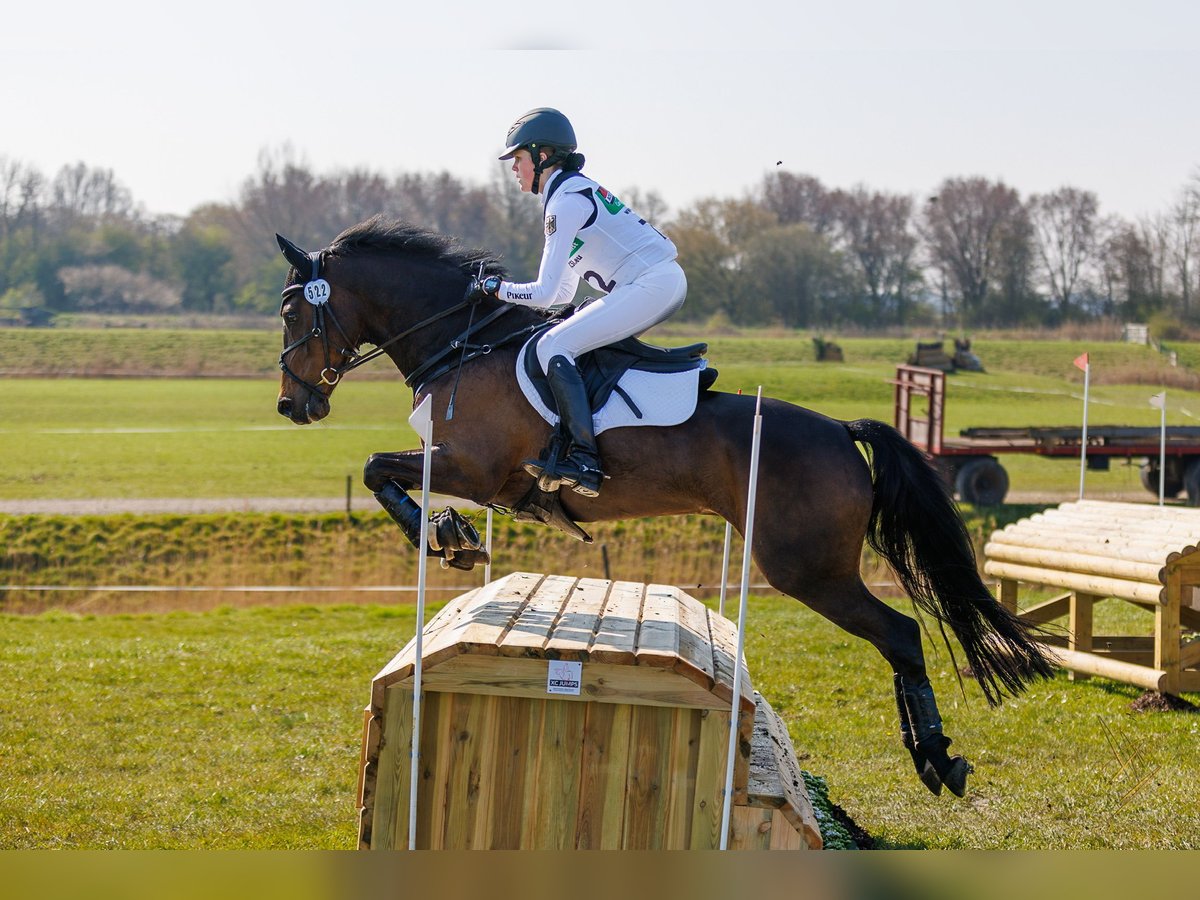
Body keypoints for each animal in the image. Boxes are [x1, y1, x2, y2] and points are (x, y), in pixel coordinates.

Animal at [272, 214, 1051, 801]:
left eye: (289, 311)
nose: (292, 405)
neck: (463, 344)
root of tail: (839, 430)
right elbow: (383, 471)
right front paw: (450, 534)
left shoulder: (474, 467)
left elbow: (379, 469)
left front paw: (448, 535)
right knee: (898, 637)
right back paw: (932, 754)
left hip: (807, 569)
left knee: (900, 634)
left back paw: (937, 758)